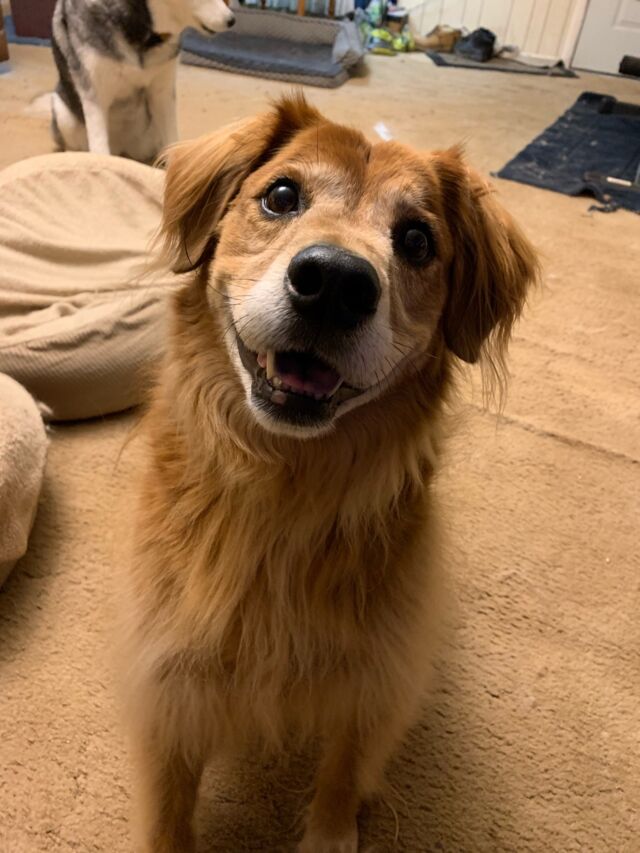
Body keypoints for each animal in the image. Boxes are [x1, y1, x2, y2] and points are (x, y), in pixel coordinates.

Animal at [50, 0, 235, 163]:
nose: (232, 20)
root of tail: (122, 149)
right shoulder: (95, 95)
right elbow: (100, 149)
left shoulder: (163, 92)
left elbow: (172, 140)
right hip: (63, 114)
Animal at [121, 94, 537, 852]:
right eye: (282, 196)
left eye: (417, 240)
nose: (337, 283)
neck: (288, 483)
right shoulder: (170, 668)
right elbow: (170, 802)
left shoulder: (377, 670)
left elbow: (346, 762)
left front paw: (330, 830)